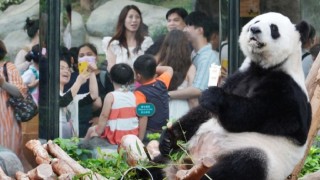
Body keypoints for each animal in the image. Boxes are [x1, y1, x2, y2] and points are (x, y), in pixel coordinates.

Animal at [158, 11, 312, 179]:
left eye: (274, 28)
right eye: (256, 21)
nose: (254, 29)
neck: (263, 68)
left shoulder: (287, 93)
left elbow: (250, 114)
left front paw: (213, 96)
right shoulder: (240, 76)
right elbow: (201, 114)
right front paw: (169, 138)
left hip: (260, 157)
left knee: (240, 166)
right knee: (157, 163)